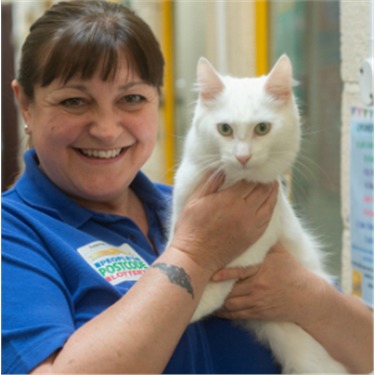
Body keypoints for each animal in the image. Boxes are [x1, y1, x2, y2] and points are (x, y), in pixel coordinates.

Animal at [169, 54, 348, 374]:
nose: (243, 156)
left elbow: (214, 285)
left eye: (262, 129)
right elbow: (174, 251)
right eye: (224, 129)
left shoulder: (249, 253)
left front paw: (191, 309)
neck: (232, 183)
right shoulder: (179, 213)